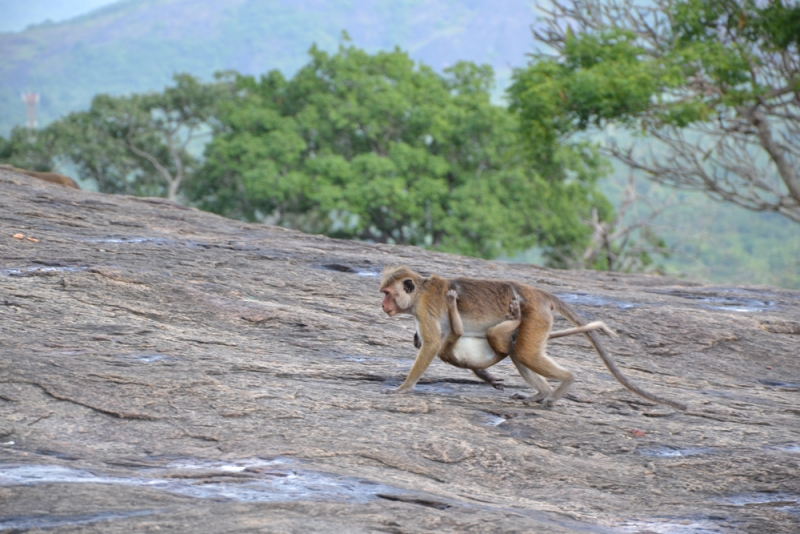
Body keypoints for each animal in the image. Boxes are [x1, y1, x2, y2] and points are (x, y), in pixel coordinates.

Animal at [382, 268, 688, 414]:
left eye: (387, 293)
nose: (382, 305)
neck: (420, 292)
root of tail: (538, 294)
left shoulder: (425, 310)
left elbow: (434, 343)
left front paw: (404, 388)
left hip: (536, 316)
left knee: (525, 354)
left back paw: (563, 384)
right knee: (519, 354)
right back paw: (540, 393)